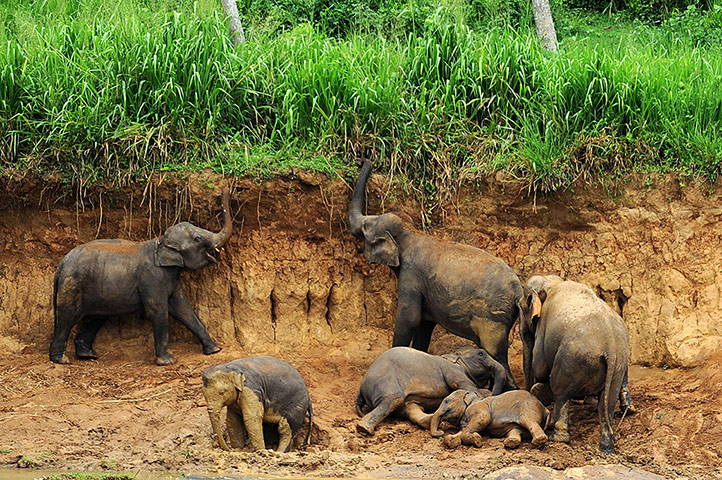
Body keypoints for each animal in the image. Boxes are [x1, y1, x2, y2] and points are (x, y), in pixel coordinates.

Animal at [49, 188, 232, 366]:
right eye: (197, 238)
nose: (225, 189)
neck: (160, 241)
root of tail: (62, 264)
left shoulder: (171, 278)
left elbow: (183, 308)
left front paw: (214, 350)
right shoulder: (152, 279)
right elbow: (158, 310)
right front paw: (167, 361)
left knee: (94, 319)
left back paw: (88, 356)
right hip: (72, 284)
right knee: (67, 317)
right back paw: (61, 360)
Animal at [348, 159, 522, 390]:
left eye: (366, 228)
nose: (367, 160)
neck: (412, 233)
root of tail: (520, 292)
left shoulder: (411, 275)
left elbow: (409, 318)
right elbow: (424, 324)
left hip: (493, 318)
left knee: (496, 353)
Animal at [355, 346, 508, 435]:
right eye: (481, 354)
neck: (453, 357)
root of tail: (360, 389)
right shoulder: (452, 370)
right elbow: (468, 386)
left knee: (411, 409)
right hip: (386, 384)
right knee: (393, 400)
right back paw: (364, 429)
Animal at [518, 275, 634, 454]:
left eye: (521, 307)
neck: (551, 282)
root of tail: (610, 346)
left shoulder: (543, 326)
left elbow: (540, 365)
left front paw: (537, 390)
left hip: (572, 359)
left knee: (561, 391)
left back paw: (558, 438)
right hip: (617, 365)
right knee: (606, 404)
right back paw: (606, 448)